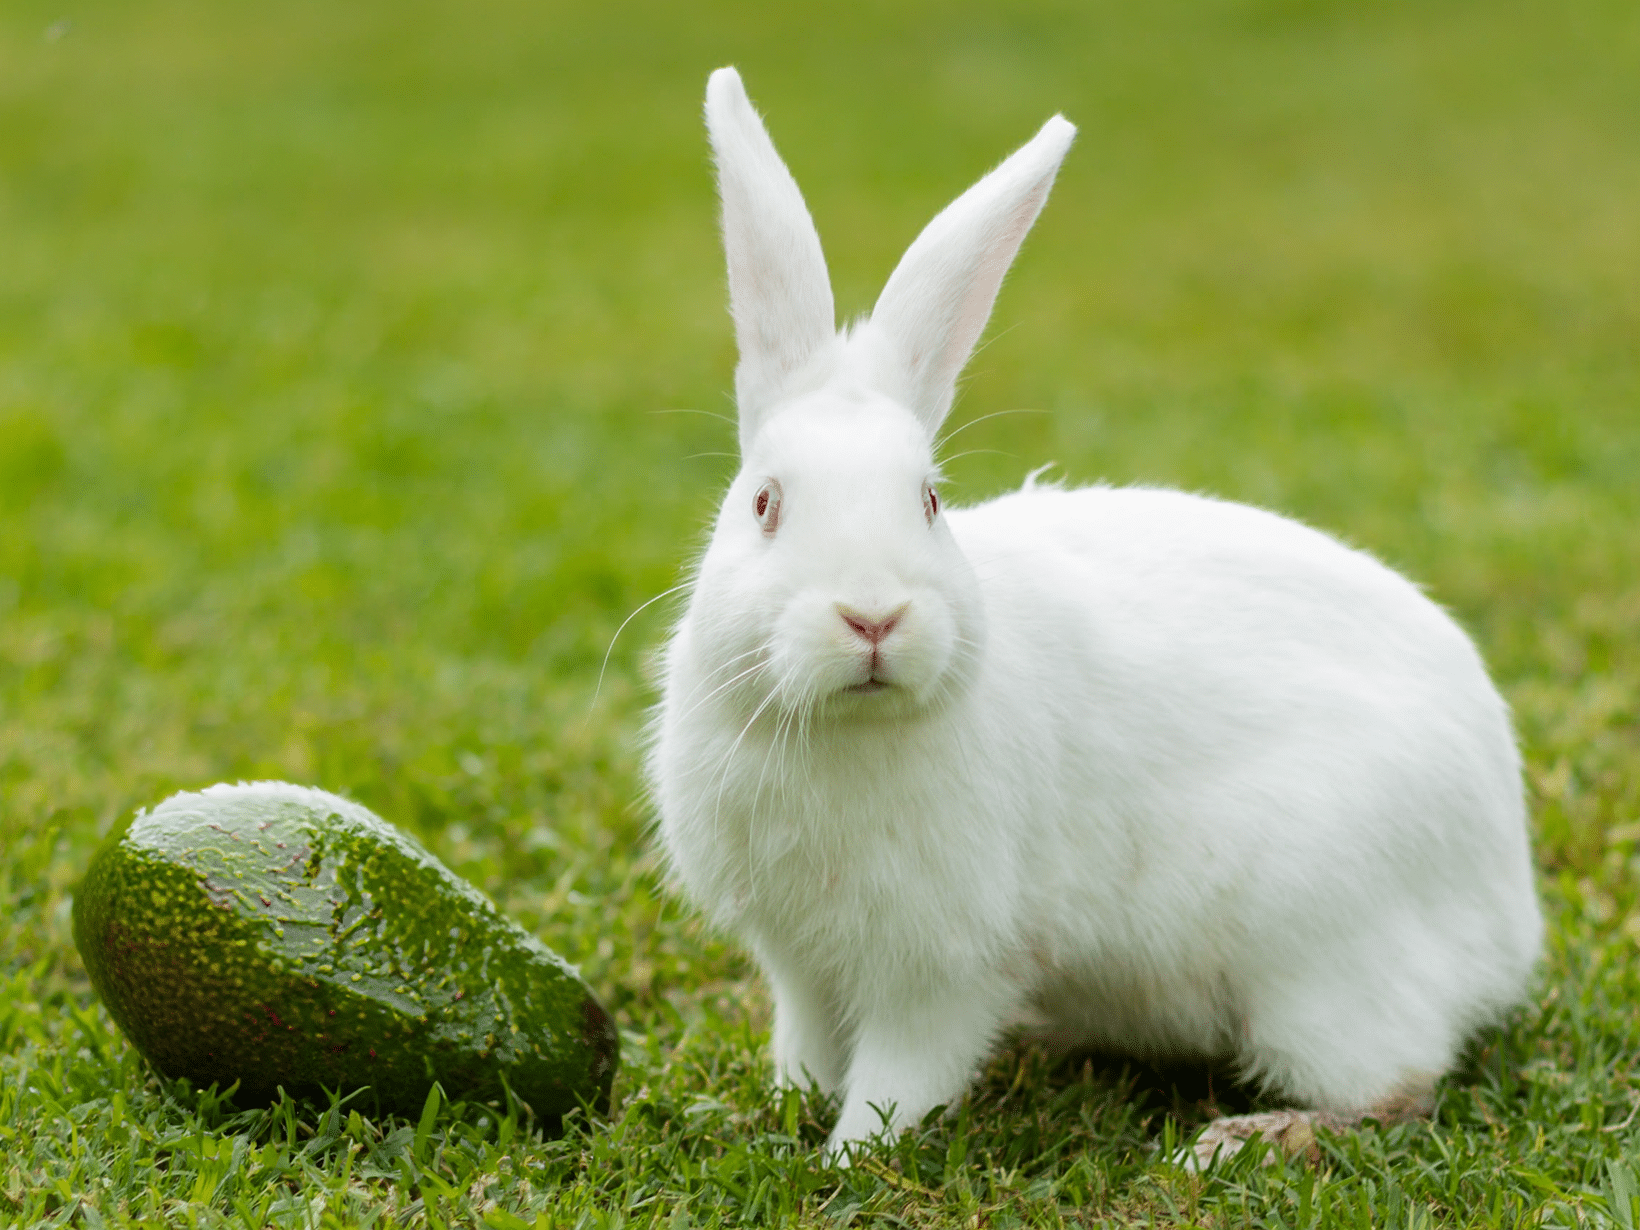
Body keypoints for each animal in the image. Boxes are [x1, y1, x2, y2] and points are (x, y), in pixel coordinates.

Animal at [649, 67, 1535, 1167]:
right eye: (766, 503)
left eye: (928, 502)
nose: (873, 616)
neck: (841, 731)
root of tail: (1509, 917)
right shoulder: (800, 964)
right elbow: (806, 1047)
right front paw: (779, 1112)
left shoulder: (941, 970)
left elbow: (900, 1078)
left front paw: (851, 1158)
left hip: (1320, 960)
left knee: (1396, 1091)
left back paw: (1240, 1139)